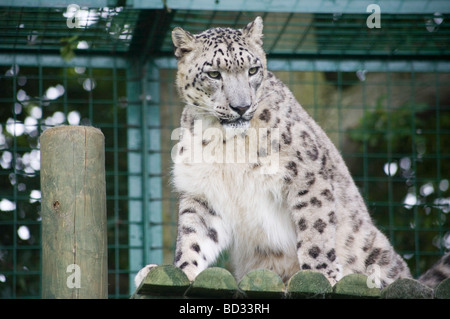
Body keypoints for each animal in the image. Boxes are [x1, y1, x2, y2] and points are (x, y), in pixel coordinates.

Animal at [135, 16, 450, 290]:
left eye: (253, 70)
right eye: (214, 73)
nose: (241, 106)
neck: (226, 142)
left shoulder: (308, 177)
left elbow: (315, 231)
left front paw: (320, 276)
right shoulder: (203, 192)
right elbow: (194, 237)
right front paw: (181, 271)